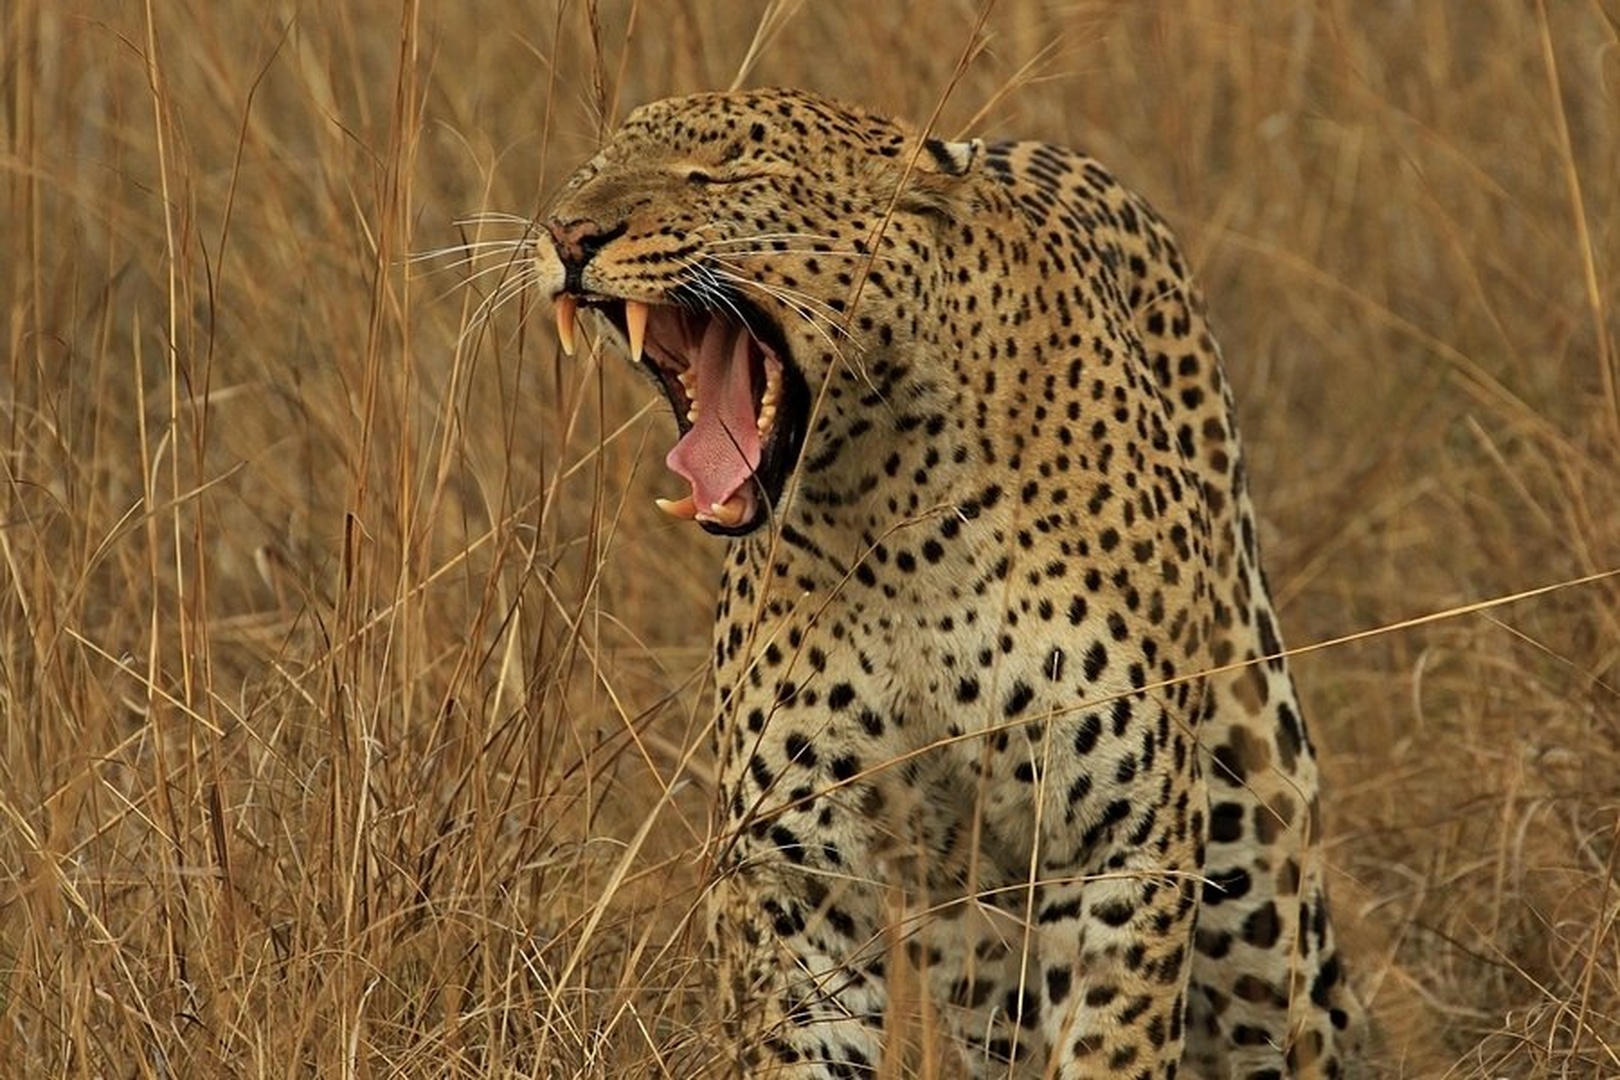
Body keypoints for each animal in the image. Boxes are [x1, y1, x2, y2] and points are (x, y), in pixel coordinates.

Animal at [528, 87, 1362, 1079]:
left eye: (724, 174)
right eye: (593, 165)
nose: (569, 232)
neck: (891, 513)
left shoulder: (1124, 840)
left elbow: (1116, 1040)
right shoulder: (799, 866)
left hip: (1255, 865)